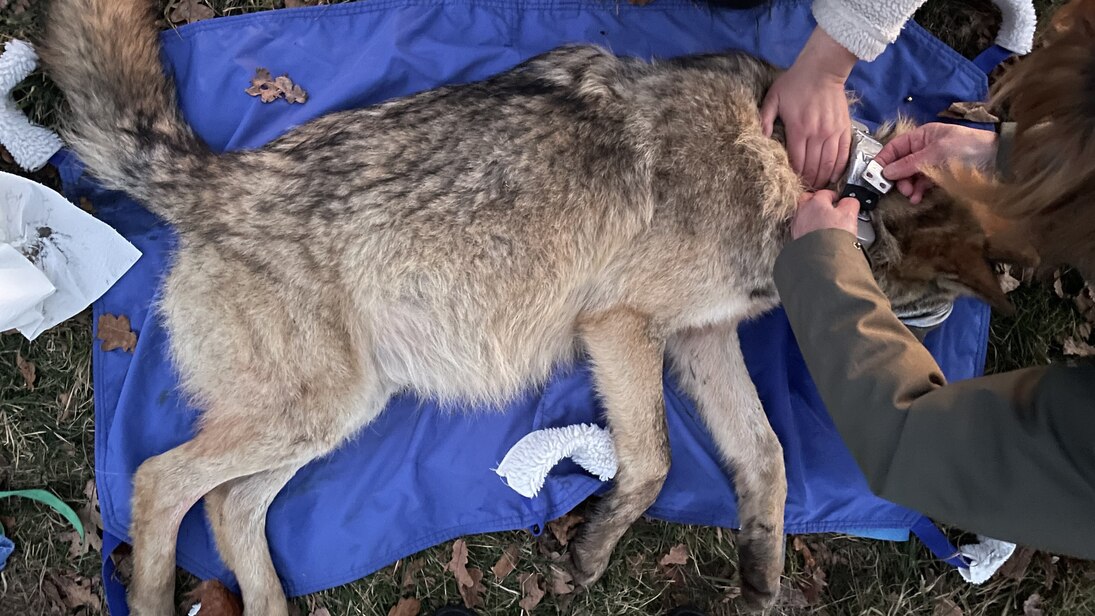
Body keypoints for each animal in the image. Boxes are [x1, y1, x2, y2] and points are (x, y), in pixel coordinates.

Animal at [41, 1, 1013, 613]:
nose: (932, 361)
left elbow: (767, 459)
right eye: (929, 312)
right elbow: (655, 463)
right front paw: (590, 551)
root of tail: (216, 178)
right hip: (313, 412)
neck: (802, 173)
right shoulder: (621, 328)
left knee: (227, 509)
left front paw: (760, 575)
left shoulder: (698, 340)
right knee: (159, 482)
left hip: (338, 414)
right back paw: (151, 597)